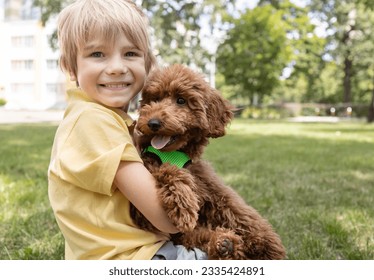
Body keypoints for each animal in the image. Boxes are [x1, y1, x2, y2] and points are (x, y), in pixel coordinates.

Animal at [131, 64, 286, 260]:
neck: (174, 153)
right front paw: (183, 204)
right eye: (155, 99)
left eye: (181, 100)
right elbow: (168, 169)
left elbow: (236, 208)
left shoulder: (211, 187)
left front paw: (267, 241)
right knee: (199, 236)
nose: (153, 123)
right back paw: (225, 243)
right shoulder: (142, 215)